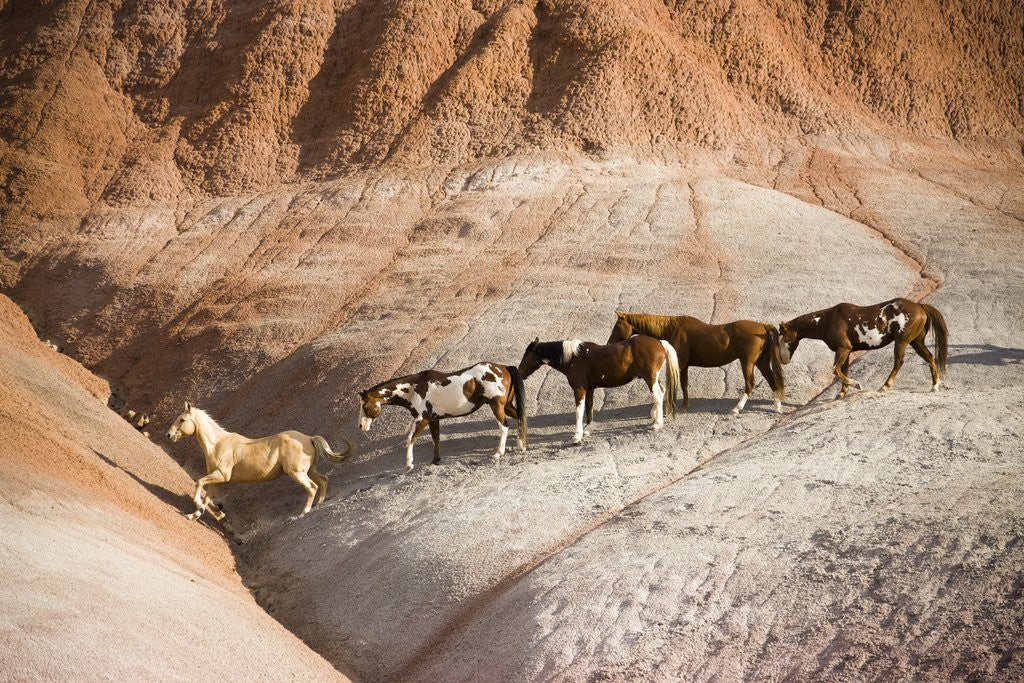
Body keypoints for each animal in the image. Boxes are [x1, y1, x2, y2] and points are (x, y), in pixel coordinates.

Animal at [166, 402, 353, 520]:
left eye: (182, 419)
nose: (169, 435)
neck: (219, 444)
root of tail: (309, 438)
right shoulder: (217, 479)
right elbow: (207, 497)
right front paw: (195, 515)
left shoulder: (221, 475)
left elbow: (199, 483)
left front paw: (198, 505)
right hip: (309, 471)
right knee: (323, 480)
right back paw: (318, 506)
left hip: (297, 473)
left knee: (312, 487)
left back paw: (304, 512)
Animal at [358, 362, 527, 472]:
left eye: (364, 407)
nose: (361, 426)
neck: (414, 389)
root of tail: (504, 367)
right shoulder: (434, 419)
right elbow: (436, 438)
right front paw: (435, 460)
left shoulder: (422, 419)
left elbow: (410, 438)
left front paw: (409, 464)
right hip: (506, 406)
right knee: (520, 417)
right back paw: (521, 445)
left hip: (496, 406)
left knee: (504, 426)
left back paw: (499, 453)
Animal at [517, 335, 680, 443]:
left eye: (526, 355)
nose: (519, 373)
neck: (574, 358)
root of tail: (659, 342)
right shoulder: (589, 389)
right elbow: (589, 408)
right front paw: (587, 430)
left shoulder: (579, 389)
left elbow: (579, 411)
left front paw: (577, 435)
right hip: (653, 378)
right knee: (661, 392)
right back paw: (654, 417)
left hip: (650, 378)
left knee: (657, 396)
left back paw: (657, 424)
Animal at [608, 312, 785, 414]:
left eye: (617, 325)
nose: (609, 343)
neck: (671, 329)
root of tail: (763, 326)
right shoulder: (685, 365)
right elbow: (684, 384)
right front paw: (685, 405)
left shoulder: (680, 364)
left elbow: (677, 384)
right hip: (761, 362)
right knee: (771, 380)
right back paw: (777, 406)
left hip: (747, 362)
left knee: (750, 384)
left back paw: (737, 408)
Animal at [778, 297, 948, 398]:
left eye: (783, 338)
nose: (783, 360)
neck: (828, 320)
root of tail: (920, 306)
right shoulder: (846, 351)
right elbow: (843, 370)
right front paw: (842, 392)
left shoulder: (844, 348)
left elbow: (836, 369)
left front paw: (856, 384)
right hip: (916, 341)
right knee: (930, 358)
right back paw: (935, 386)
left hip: (902, 340)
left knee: (898, 362)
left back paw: (885, 386)